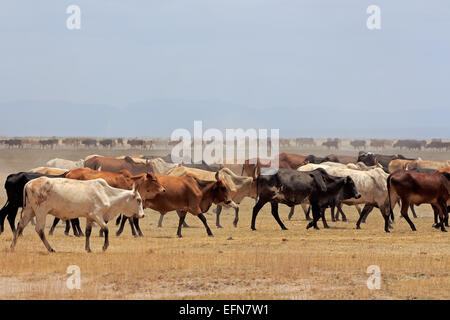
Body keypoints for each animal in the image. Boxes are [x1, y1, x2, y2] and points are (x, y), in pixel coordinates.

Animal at [10, 178, 144, 252]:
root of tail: (29, 183)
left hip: (29, 210)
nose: (142, 215)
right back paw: (51, 249)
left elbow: (88, 232)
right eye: (138, 200)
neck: (106, 193)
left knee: (20, 225)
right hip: (40, 212)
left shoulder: (89, 217)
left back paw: (12, 247)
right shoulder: (97, 215)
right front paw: (104, 247)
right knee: (39, 229)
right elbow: (106, 229)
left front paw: (88, 249)